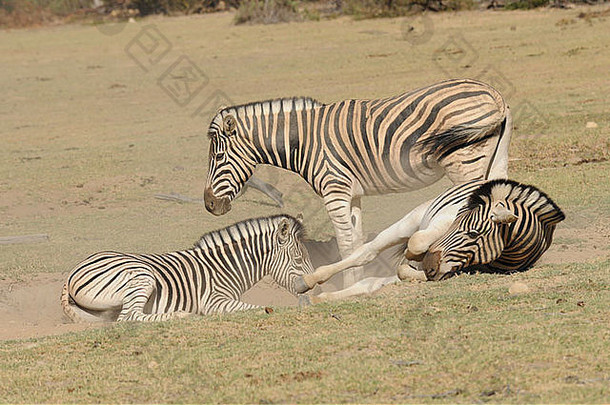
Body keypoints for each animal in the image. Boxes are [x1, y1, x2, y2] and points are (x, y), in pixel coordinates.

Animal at [60, 215, 314, 322]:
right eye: (298, 259)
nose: (312, 290)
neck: (226, 267)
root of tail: (73, 272)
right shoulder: (213, 300)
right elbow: (264, 308)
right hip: (142, 275)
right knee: (128, 317)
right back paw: (180, 314)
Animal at [202, 79, 510, 288]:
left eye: (218, 157)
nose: (209, 205)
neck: (304, 141)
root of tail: (492, 93)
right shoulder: (352, 196)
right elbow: (357, 240)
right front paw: (356, 279)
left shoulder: (334, 191)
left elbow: (346, 244)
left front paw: (348, 284)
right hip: (496, 159)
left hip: (465, 164)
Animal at [294, 178, 560, 302]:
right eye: (458, 222)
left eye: (474, 234)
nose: (430, 263)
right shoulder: (443, 222)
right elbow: (417, 243)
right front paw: (414, 256)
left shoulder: (454, 269)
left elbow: (405, 273)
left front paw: (412, 266)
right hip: (412, 218)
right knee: (367, 252)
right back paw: (308, 281)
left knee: (368, 281)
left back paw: (318, 297)